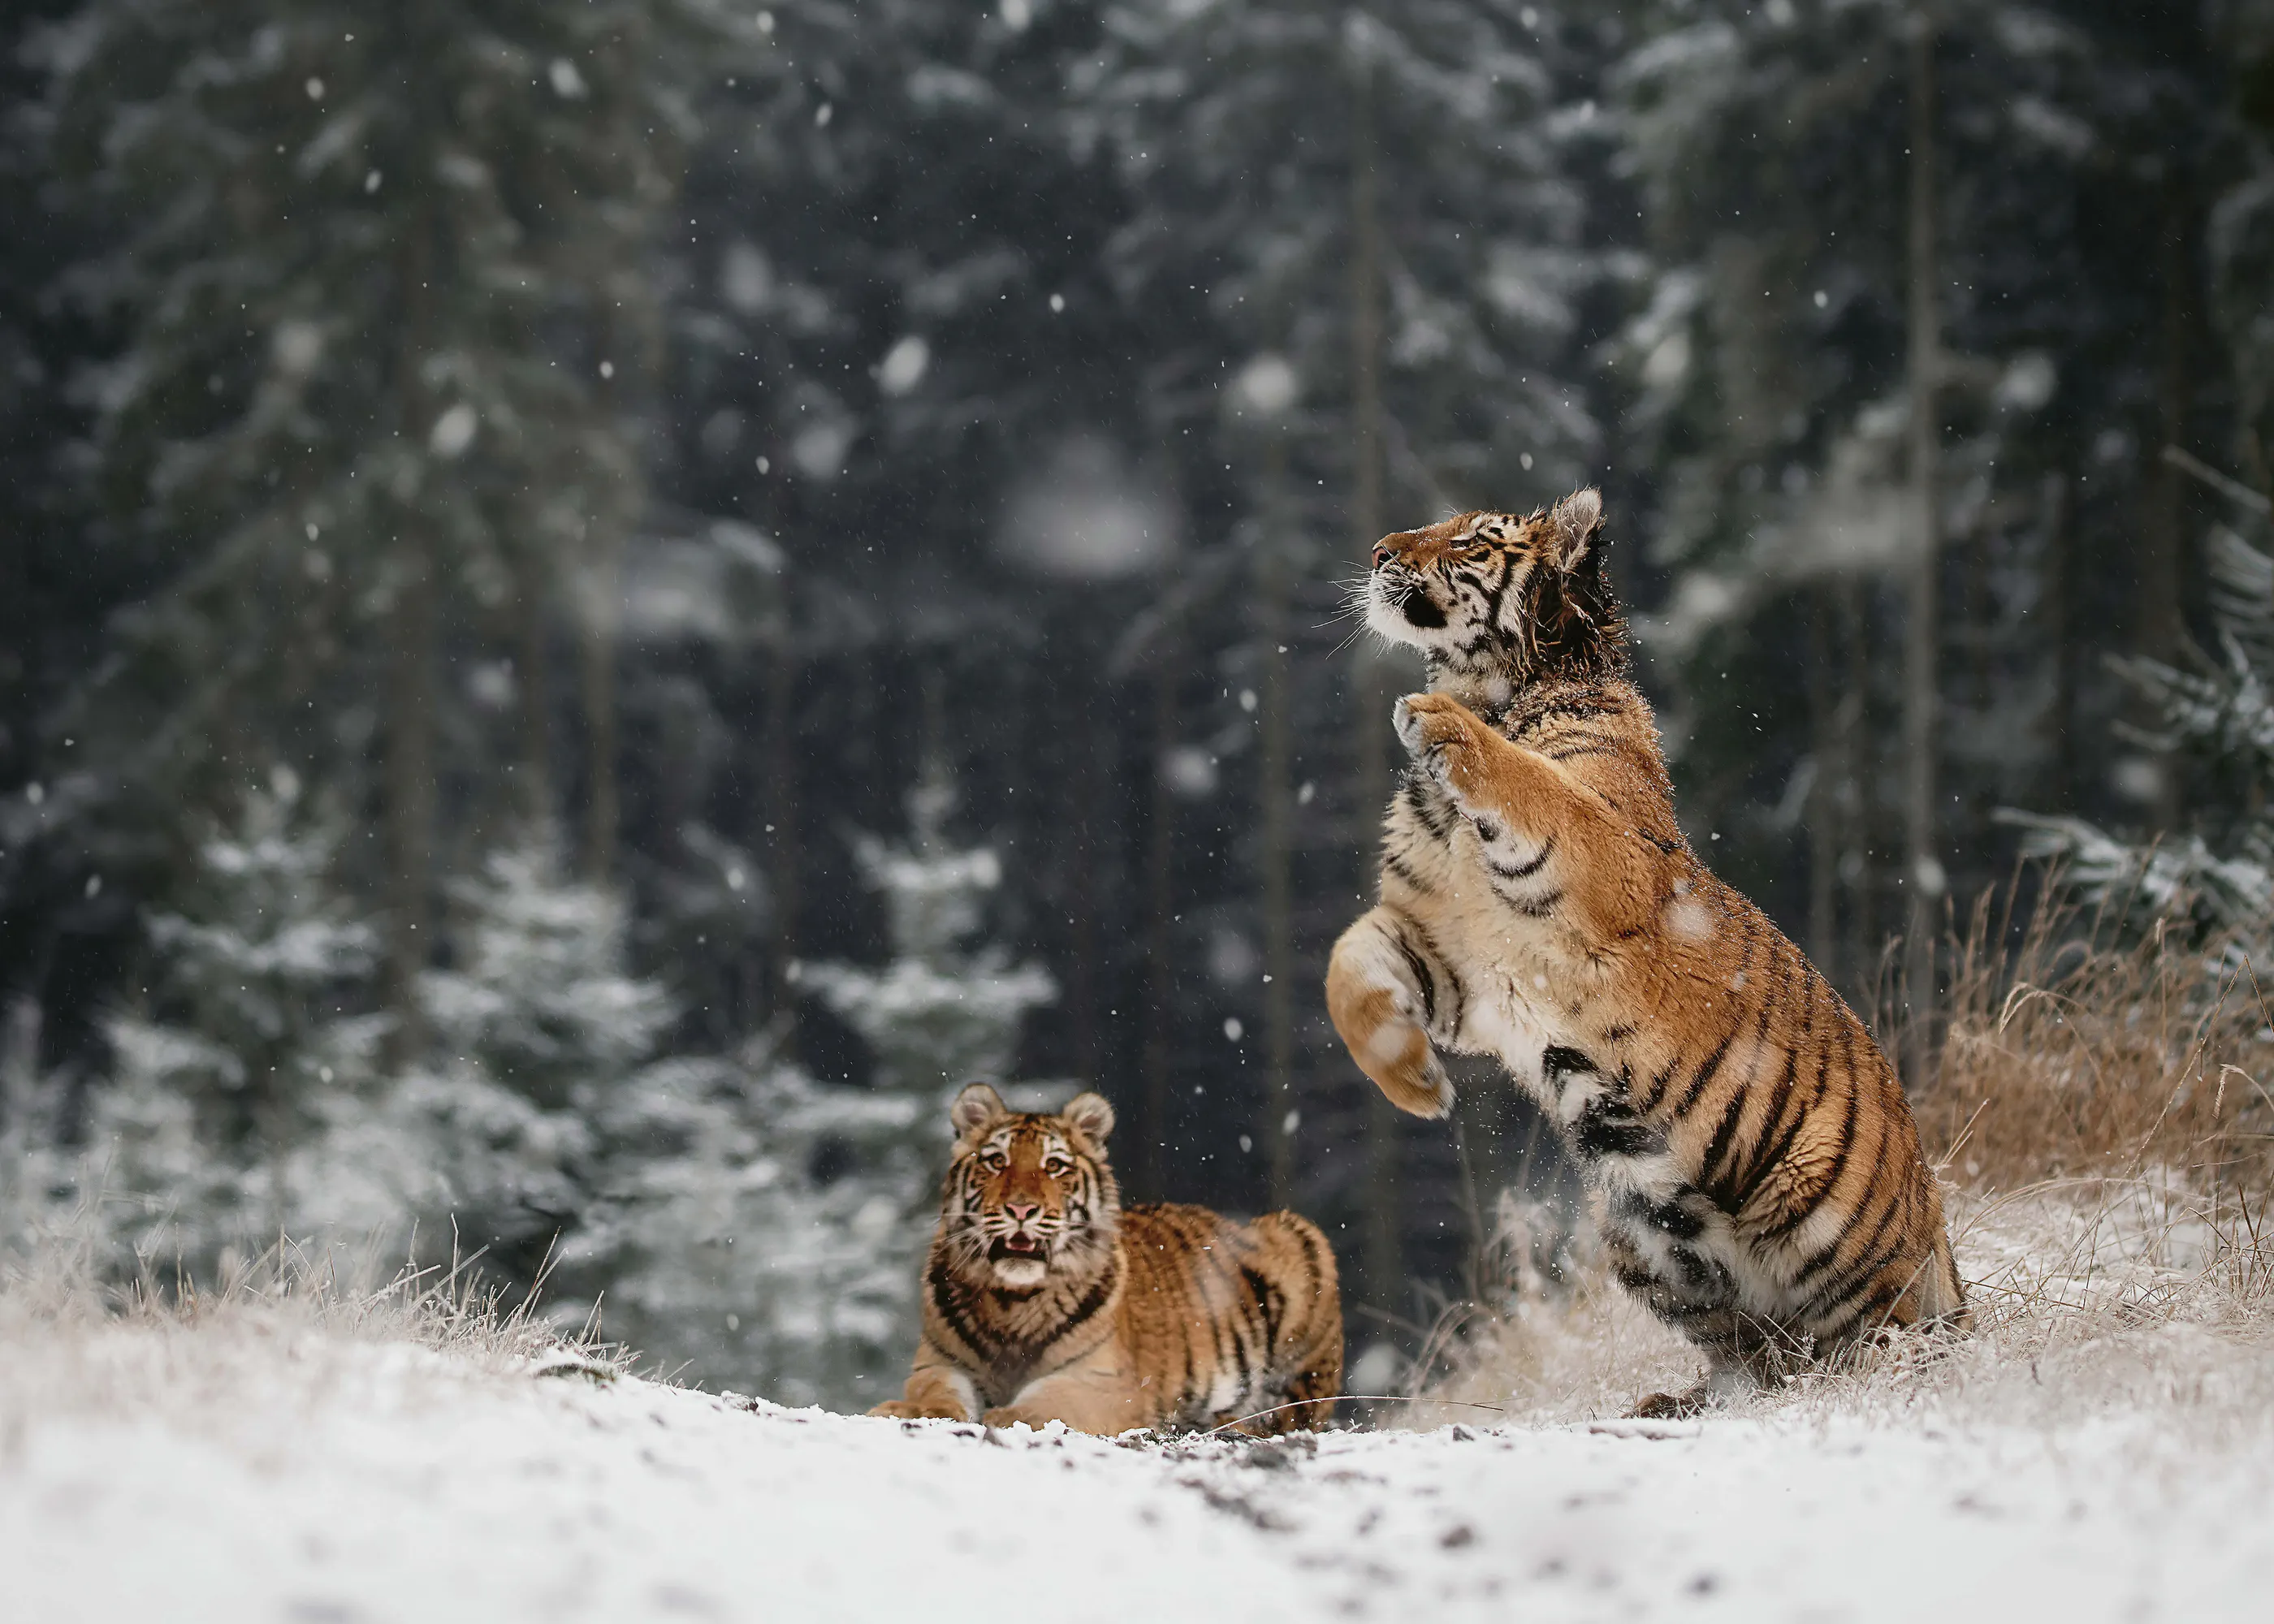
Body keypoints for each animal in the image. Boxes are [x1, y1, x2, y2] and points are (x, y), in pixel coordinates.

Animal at [869, 1083, 1343, 1436]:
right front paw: (904, 1409)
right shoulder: (938, 1363)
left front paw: (1006, 1415)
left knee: (1295, 1411)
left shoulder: (1103, 1383)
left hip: (1300, 1241)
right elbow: (934, 1393)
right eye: (997, 1161)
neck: (1011, 1302)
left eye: (1054, 1166)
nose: (1021, 1209)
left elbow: (1049, 1402)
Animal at [1326, 489, 1966, 1415]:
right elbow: (1347, 961)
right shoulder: (1449, 958)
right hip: (1637, 1227)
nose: (1378, 550)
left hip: (1815, 1205)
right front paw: (1413, 1084)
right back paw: (1686, 1400)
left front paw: (1441, 724)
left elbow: (1534, 782)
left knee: (1885, 1339)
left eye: (1473, 540)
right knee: (1758, 1350)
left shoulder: (1605, 860)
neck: (1492, 684)